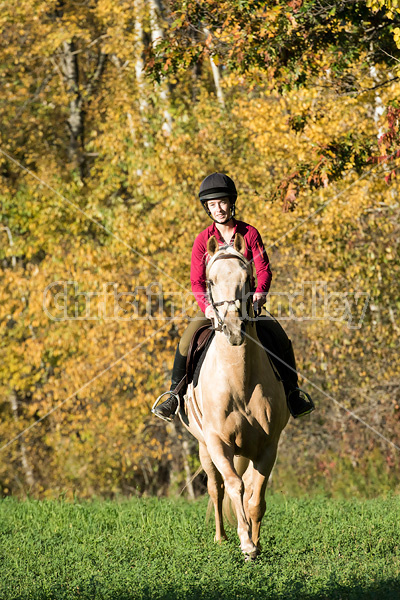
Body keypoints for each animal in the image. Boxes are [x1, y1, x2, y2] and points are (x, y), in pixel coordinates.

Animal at [180, 233, 290, 556]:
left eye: (247, 278)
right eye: (210, 280)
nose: (233, 328)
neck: (239, 381)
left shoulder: (268, 446)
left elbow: (255, 497)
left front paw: (256, 543)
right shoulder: (218, 443)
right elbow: (233, 486)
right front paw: (245, 542)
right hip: (203, 448)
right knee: (216, 490)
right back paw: (220, 537)